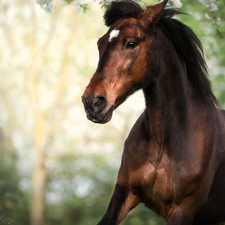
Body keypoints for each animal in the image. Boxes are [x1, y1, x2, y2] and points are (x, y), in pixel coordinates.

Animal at [81, 0, 225, 224]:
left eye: (131, 43)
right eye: (100, 44)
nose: (92, 102)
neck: (164, 142)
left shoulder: (183, 210)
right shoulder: (124, 193)